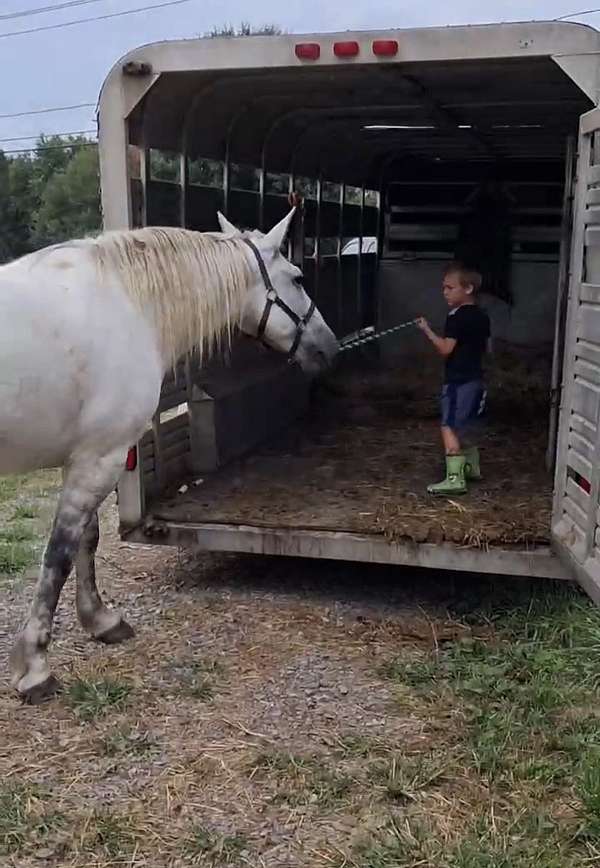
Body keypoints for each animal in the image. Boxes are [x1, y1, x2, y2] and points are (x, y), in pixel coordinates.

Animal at [1, 207, 339, 705]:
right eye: (296, 277)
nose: (327, 346)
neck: (126, 305)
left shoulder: (87, 456)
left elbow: (86, 540)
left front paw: (99, 619)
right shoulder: (99, 459)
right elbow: (58, 556)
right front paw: (35, 666)